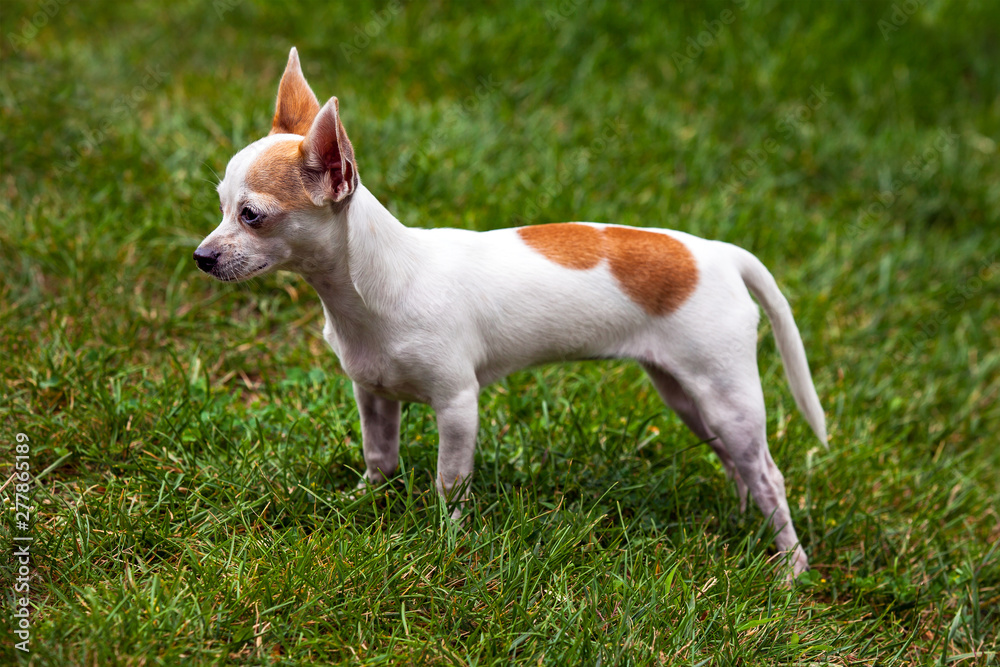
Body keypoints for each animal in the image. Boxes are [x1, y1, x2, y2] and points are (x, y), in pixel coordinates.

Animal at [195, 48, 828, 580]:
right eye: (221, 205)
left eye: (252, 216)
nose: (202, 256)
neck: (375, 286)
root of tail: (719, 253)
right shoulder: (372, 395)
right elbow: (380, 458)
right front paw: (363, 502)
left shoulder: (458, 406)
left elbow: (450, 482)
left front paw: (445, 542)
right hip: (687, 395)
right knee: (737, 464)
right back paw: (745, 523)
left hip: (726, 396)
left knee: (768, 474)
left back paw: (790, 566)